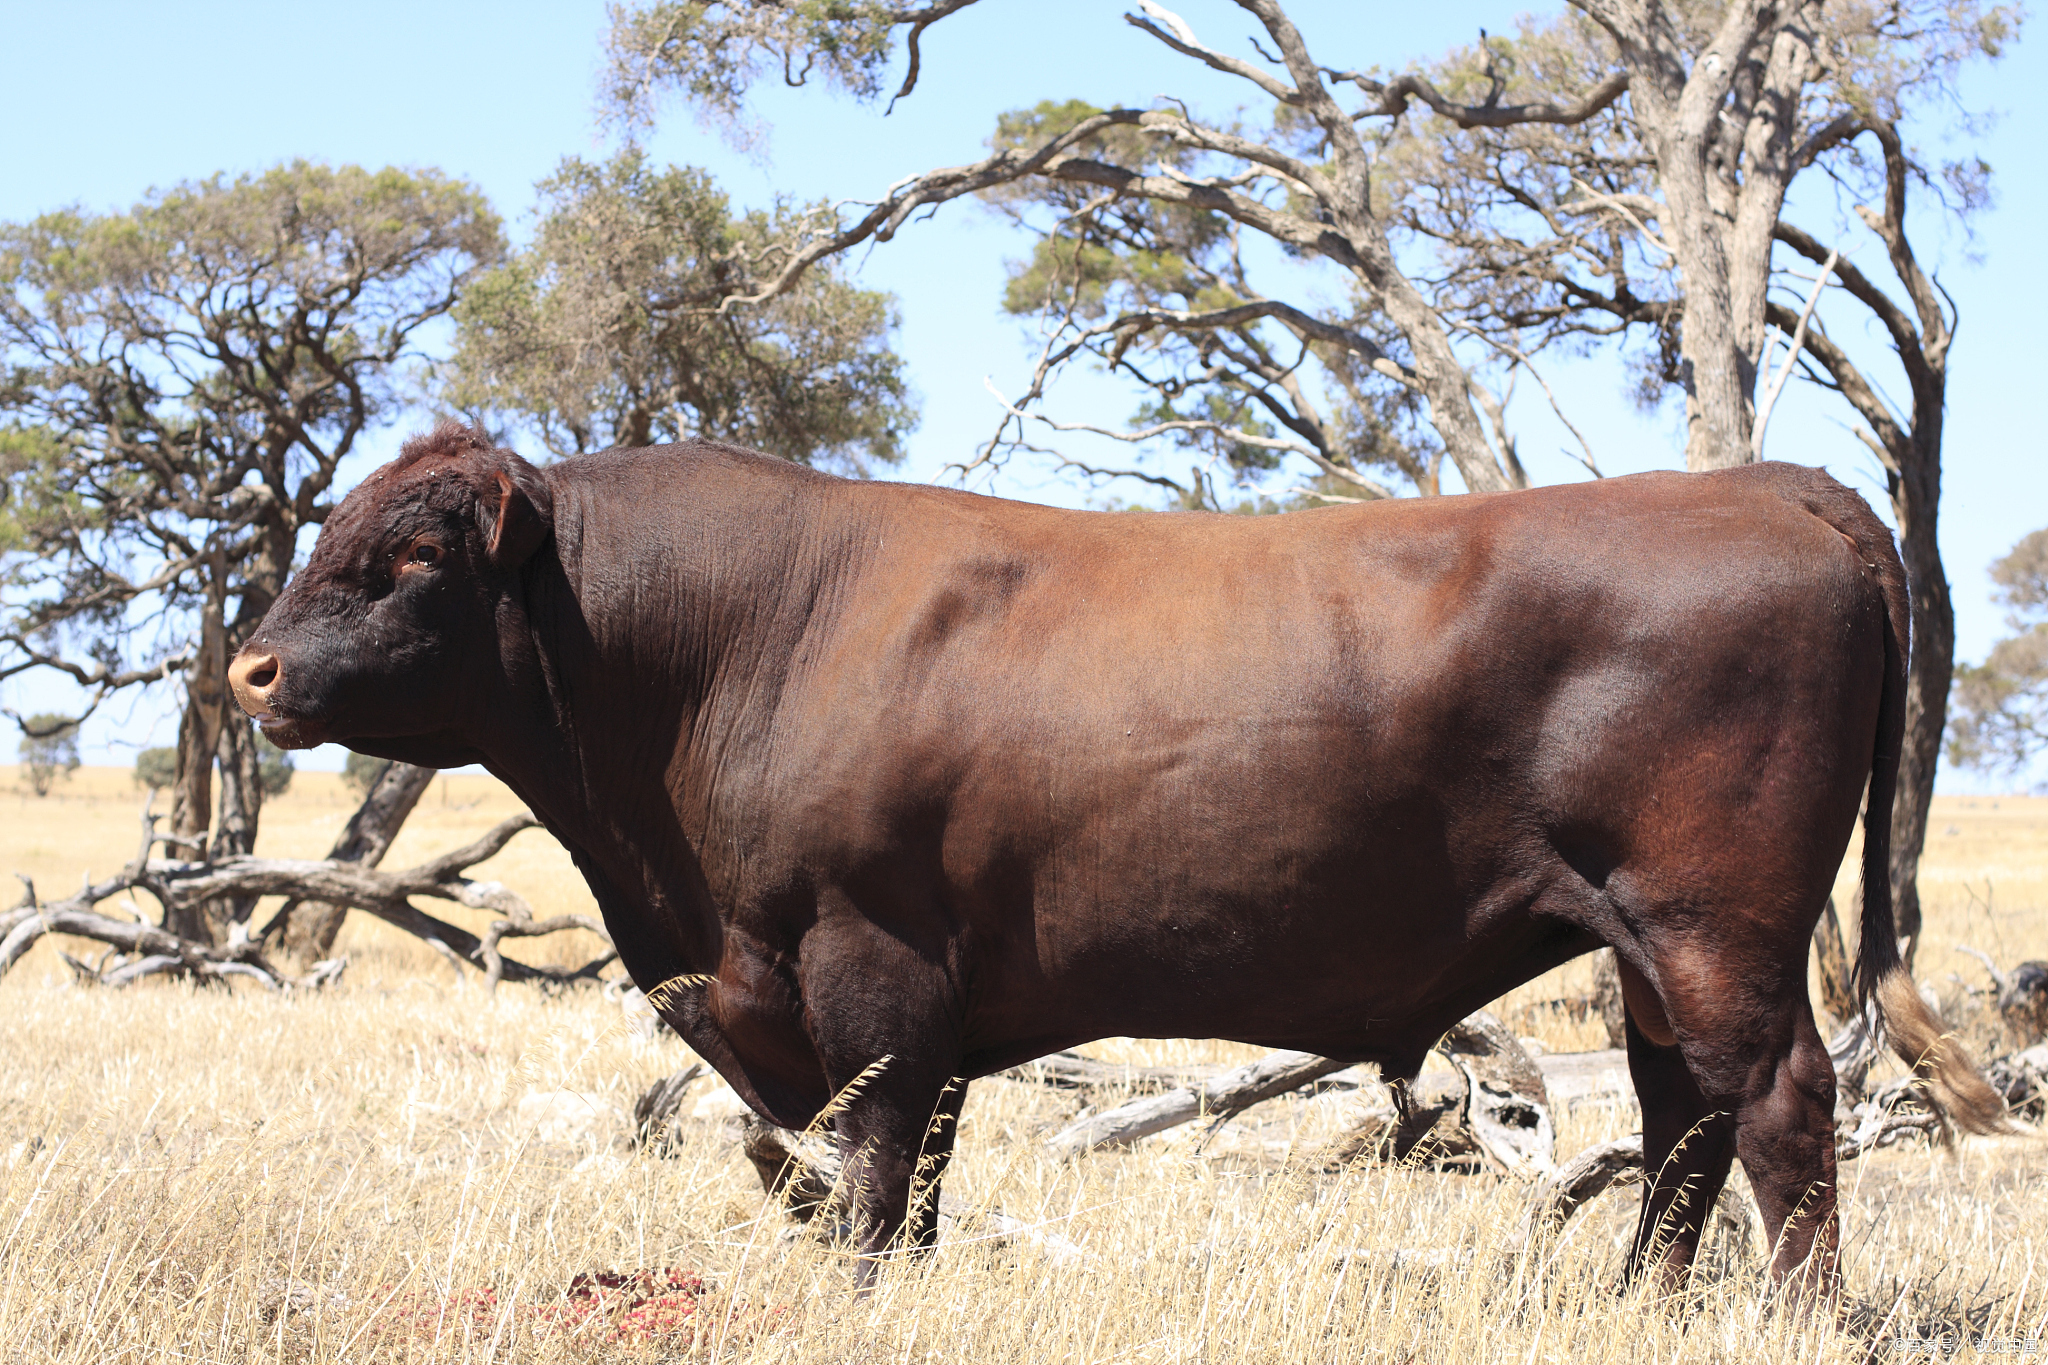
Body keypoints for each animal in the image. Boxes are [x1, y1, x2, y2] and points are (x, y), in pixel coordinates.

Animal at [228, 423, 1998, 1293]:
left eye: (410, 556)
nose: (248, 667)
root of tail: (1775, 486)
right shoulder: (920, 1003)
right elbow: (915, 1183)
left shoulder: (871, 965)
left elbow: (870, 1172)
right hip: (1649, 942)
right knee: (1679, 1117)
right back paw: (1639, 1302)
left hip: (1716, 923)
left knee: (1776, 1106)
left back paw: (1795, 1316)